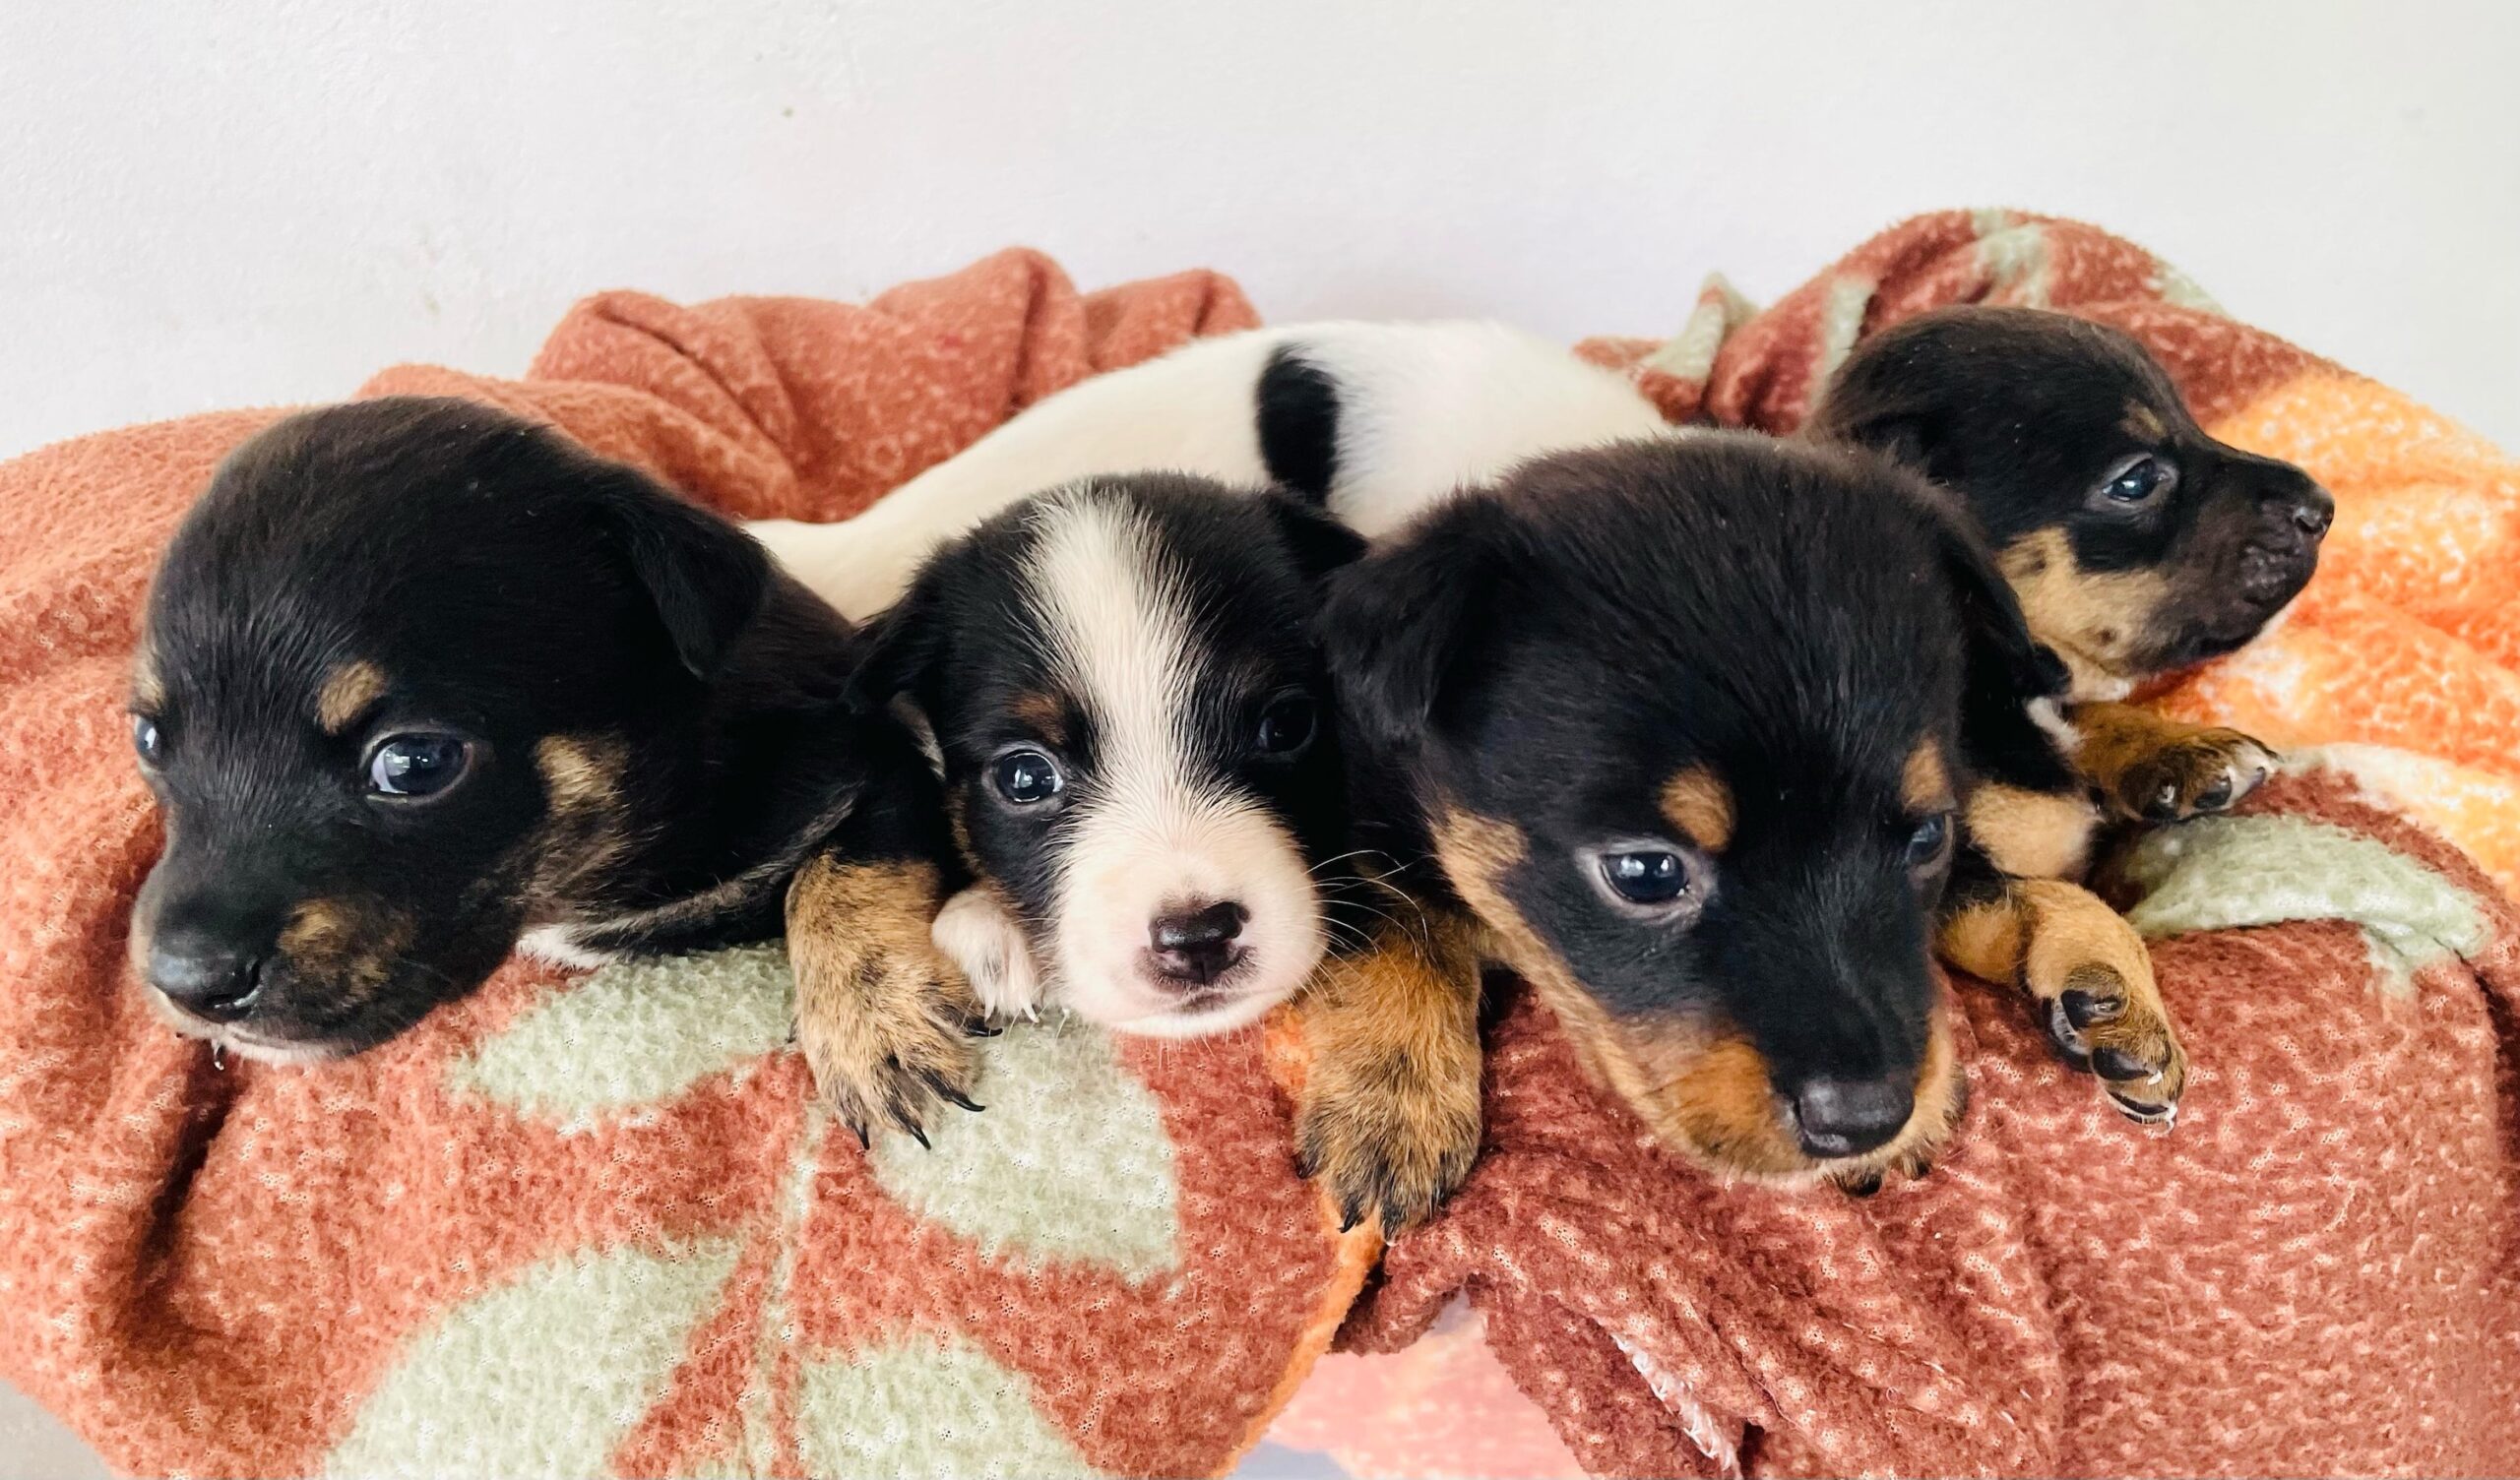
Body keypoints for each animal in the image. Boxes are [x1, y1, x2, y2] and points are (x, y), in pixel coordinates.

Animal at [125, 395, 982, 1142]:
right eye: (147, 739)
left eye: (414, 762)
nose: (188, 983)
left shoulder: (880, 758)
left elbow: (838, 875)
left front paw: (871, 1027)